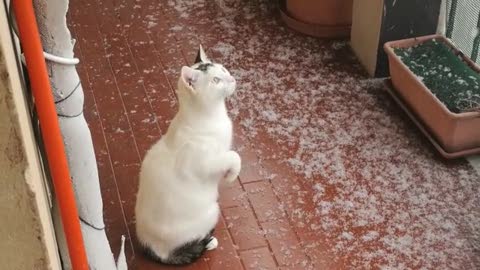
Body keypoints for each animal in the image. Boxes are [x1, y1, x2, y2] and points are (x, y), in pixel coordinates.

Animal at [134, 45, 240, 264]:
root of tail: (152, 248)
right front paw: (232, 175)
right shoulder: (205, 163)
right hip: (212, 210)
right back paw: (208, 242)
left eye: (223, 69)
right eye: (216, 80)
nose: (232, 78)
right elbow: (234, 156)